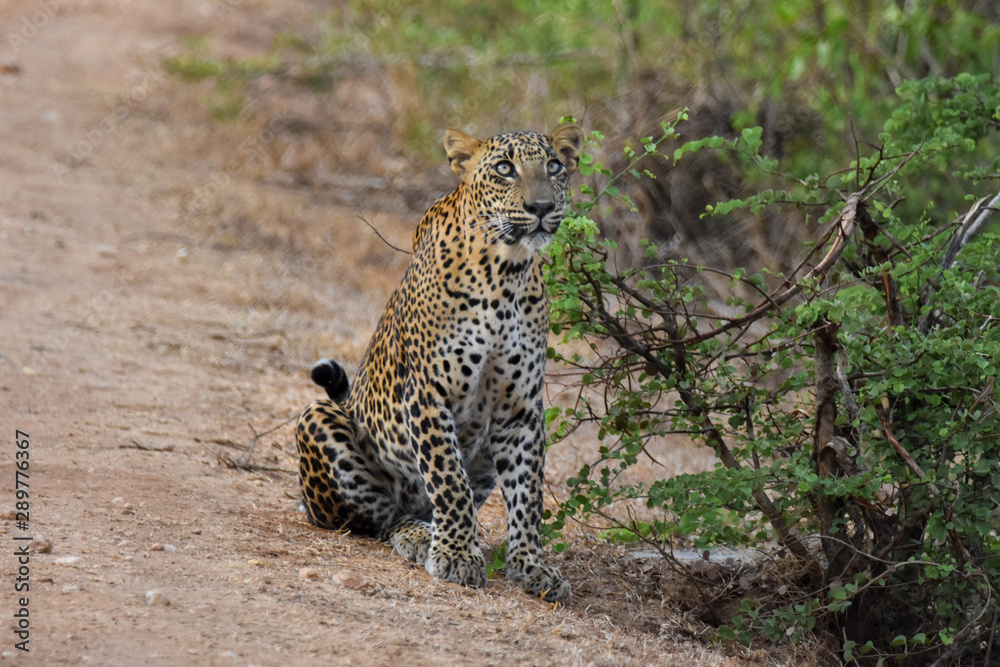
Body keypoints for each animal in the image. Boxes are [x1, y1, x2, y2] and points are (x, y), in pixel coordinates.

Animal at [295, 124, 583, 602]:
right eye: (504, 168)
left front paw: (531, 567)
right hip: (319, 419)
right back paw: (419, 536)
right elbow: (449, 479)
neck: (505, 274)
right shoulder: (429, 392)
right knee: (383, 517)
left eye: (555, 166)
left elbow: (528, 494)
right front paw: (457, 555)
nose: (541, 207)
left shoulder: (520, 410)